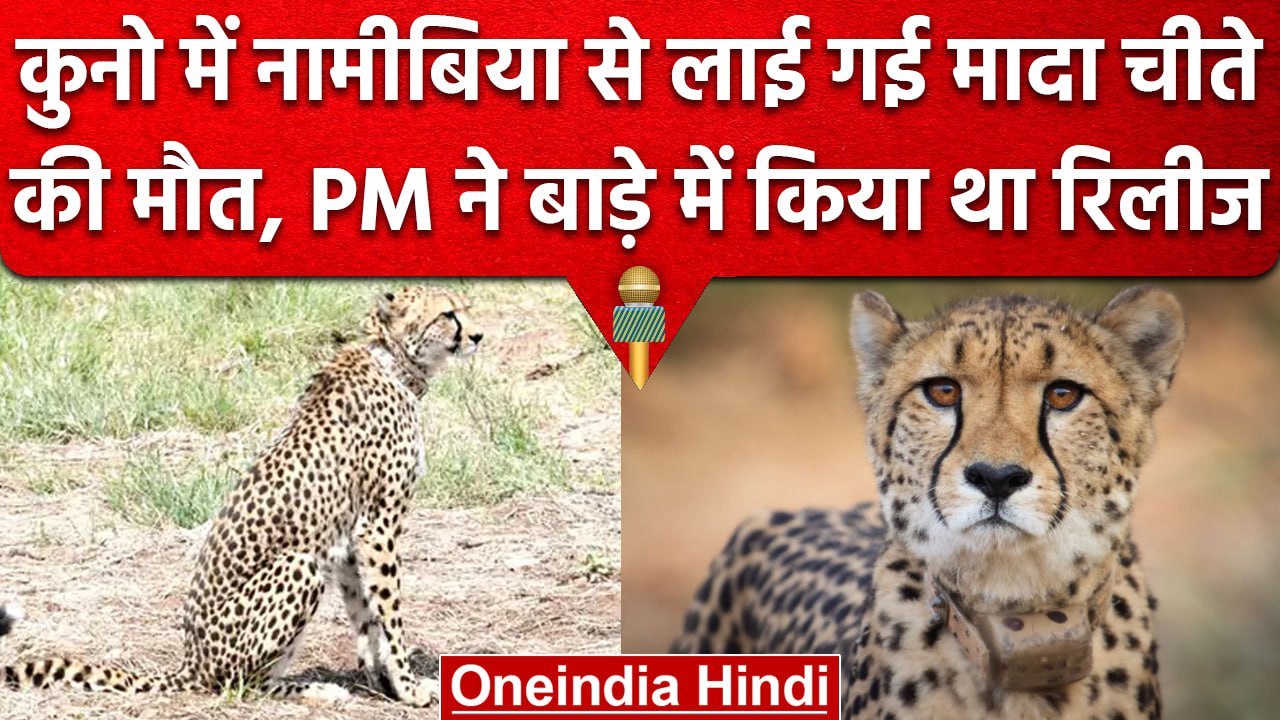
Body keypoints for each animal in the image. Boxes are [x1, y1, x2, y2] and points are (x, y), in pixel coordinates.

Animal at [3, 286, 484, 707]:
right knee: (240, 683)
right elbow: (391, 613)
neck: (395, 363)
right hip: (298, 567)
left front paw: (382, 681)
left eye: (465, 309)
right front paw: (409, 686)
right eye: (448, 314)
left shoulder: (349, 541)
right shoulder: (377, 526)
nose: (478, 335)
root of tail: (190, 662)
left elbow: (366, 617)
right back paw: (314, 690)